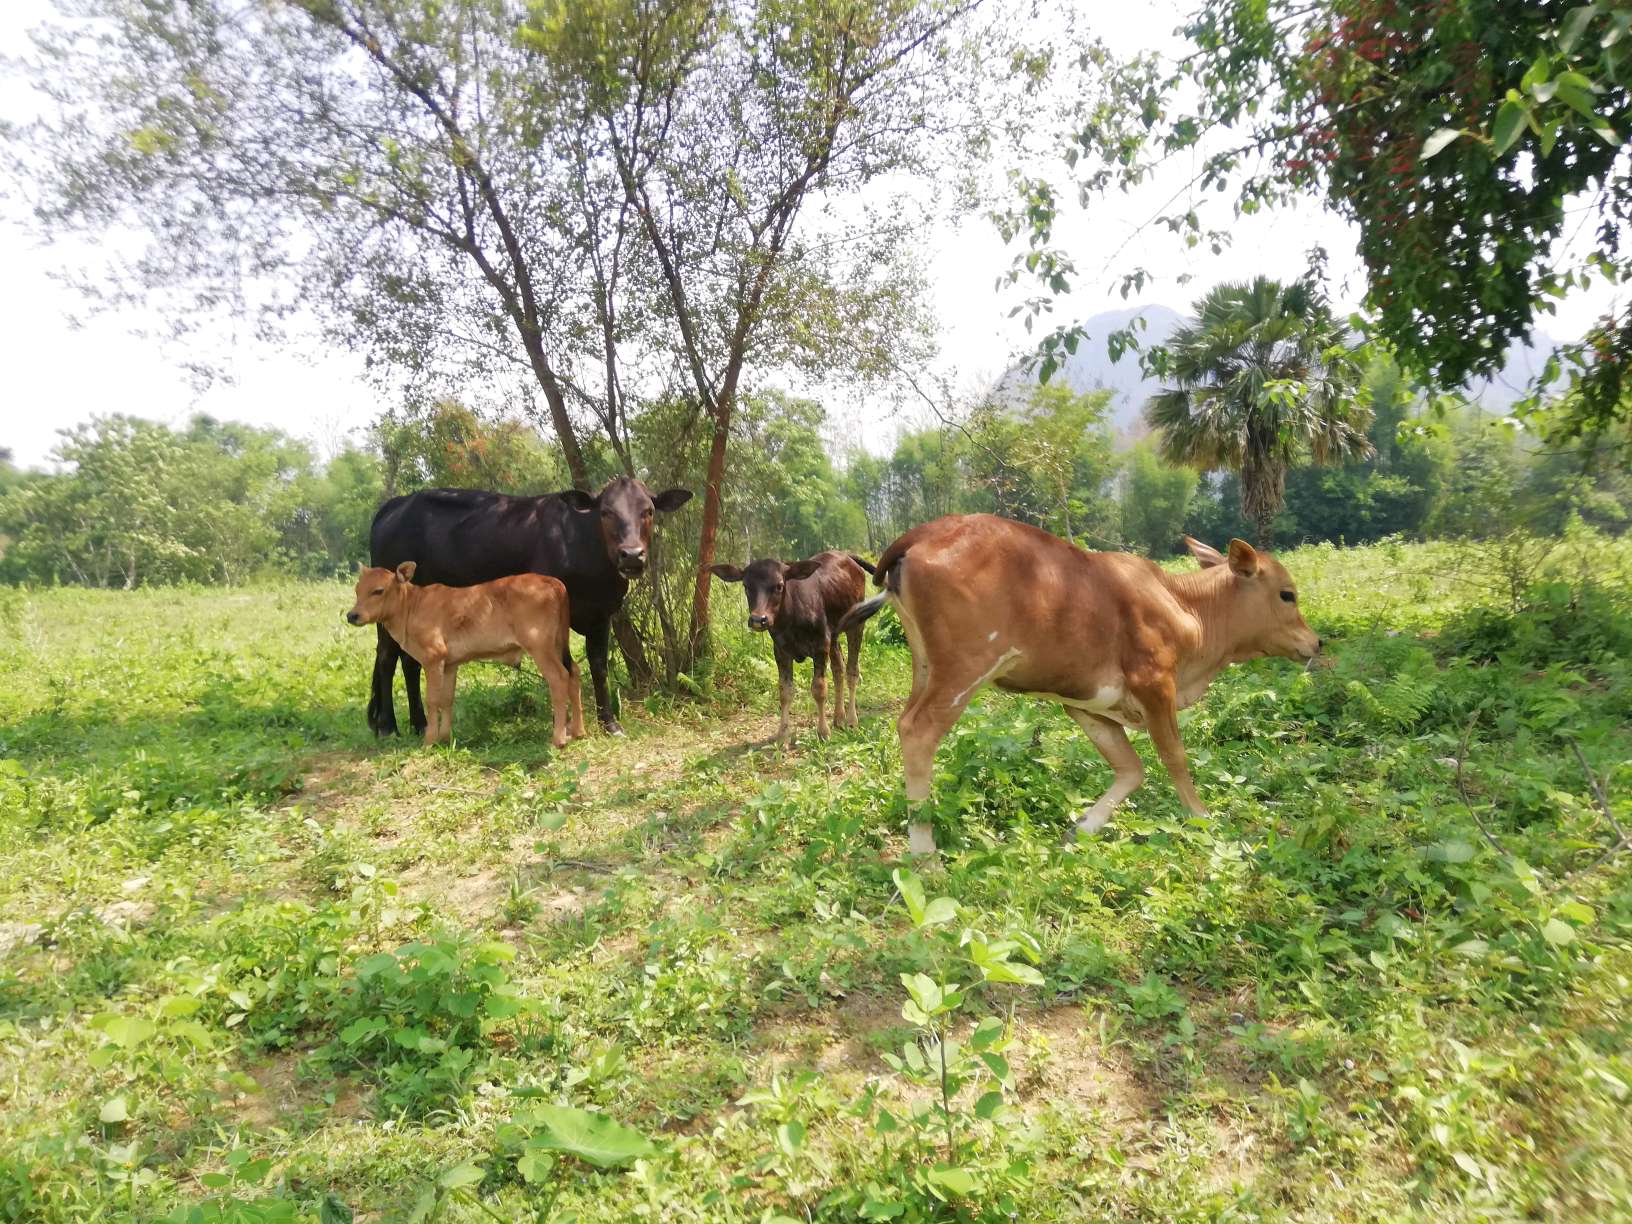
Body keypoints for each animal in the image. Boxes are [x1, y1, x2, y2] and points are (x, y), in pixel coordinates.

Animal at [347, 564, 590, 753]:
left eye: (378, 590)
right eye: (357, 589)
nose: (352, 615)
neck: (411, 608)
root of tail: (552, 581)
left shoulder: (433, 658)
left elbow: (433, 700)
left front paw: (429, 741)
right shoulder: (450, 664)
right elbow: (447, 699)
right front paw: (445, 738)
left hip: (540, 646)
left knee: (559, 678)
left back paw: (558, 738)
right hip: (558, 644)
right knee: (574, 672)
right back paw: (579, 731)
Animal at [367, 473, 691, 734]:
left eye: (648, 510)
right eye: (606, 512)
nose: (632, 555)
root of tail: (398, 503)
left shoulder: (602, 613)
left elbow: (598, 667)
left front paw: (609, 723)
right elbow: (564, 667)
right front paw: (566, 723)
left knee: (409, 661)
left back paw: (419, 723)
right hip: (387, 608)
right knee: (386, 658)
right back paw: (388, 726)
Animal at [708, 551, 874, 744]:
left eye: (779, 586)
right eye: (746, 586)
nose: (758, 619)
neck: (790, 620)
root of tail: (846, 555)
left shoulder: (820, 645)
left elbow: (819, 689)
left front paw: (823, 732)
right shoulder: (781, 652)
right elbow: (785, 692)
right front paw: (782, 736)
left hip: (856, 625)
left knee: (852, 671)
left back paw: (851, 720)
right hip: (834, 635)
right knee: (838, 669)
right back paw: (838, 718)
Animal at [842, 515, 1325, 855]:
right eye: (1287, 594)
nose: (1316, 642)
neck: (1187, 608)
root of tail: (919, 535)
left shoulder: (1086, 703)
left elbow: (1131, 769)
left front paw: (1080, 830)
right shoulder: (1155, 684)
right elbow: (1174, 759)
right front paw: (1203, 821)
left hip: (926, 667)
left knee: (906, 722)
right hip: (964, 669)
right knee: (918, 732)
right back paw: (925, 854)